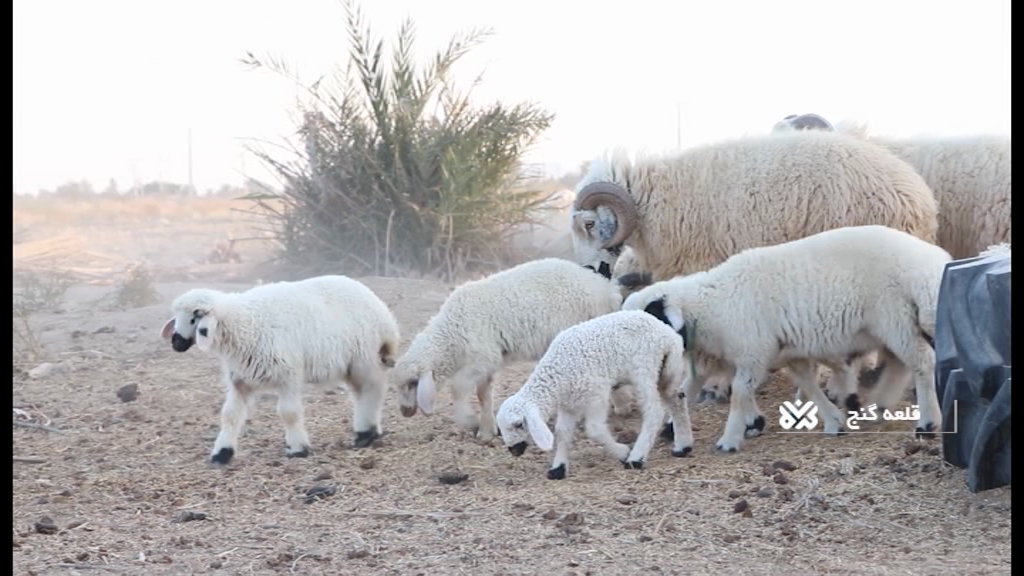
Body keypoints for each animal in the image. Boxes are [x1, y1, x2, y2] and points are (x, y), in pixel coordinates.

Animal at [159, 272, 399, 461]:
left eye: (194, 318)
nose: (176, 343)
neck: (244, 323)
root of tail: (382, 311)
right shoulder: (240, 380)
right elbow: (230, 414)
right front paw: (222, 453)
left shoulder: (288, 375)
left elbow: (288, 413)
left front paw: (297, 449)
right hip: (353, 363)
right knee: (360, 394)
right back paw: (366, 431)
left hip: (364, 358)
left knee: (372, 390)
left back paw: (367, 434)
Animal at [387, 255, 622, 438]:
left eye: (412, 383)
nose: (404, 411)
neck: (451, 333)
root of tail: (604, 289)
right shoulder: (487, 363)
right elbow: (483, 394)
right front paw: (487, 431)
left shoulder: (482, 357)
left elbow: (459, 387)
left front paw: (470, 420)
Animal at [495, 307, 696, 477]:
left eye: (519, 424)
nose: (514, 450)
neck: (556, 378)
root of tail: (669, 334)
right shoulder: (569, 404)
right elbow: (562, 432)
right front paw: (558, 468)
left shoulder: (596, 395)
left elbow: (594, 430)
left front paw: (623, 452)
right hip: (667, 370)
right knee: (677, 399)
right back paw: (683, 446)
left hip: (644, 369)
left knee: (654, 412)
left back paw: (636, 458)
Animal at [622, 224, 950, 453]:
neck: (710, 305)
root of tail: (930, 264)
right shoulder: (784, 351)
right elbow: (807, 383)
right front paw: (832, 421)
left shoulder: (754, 350)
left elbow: (740, 391)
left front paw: (730, 439)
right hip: (893, 323)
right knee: (900, 364)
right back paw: (878, 407)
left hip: (893, 317)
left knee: (922, 362)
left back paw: (926, 424)